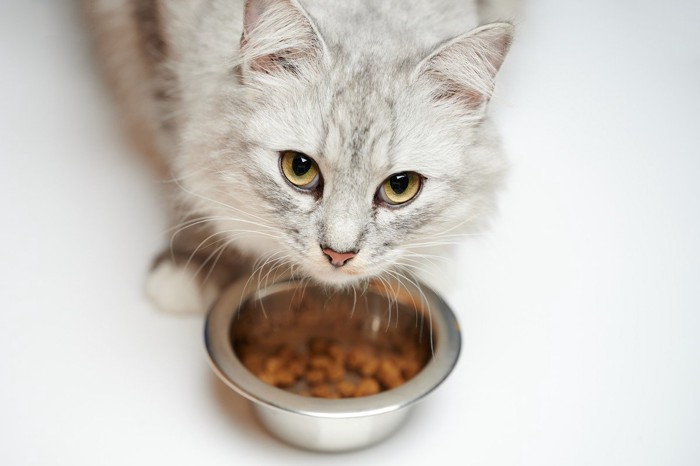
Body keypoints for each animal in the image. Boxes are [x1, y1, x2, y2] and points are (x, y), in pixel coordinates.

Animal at [85, 0, 516, 314]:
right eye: (299, 168)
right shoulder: (153, 38)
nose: (338, 256)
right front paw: (191, 264)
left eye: (400, 186)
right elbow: (182, 168)